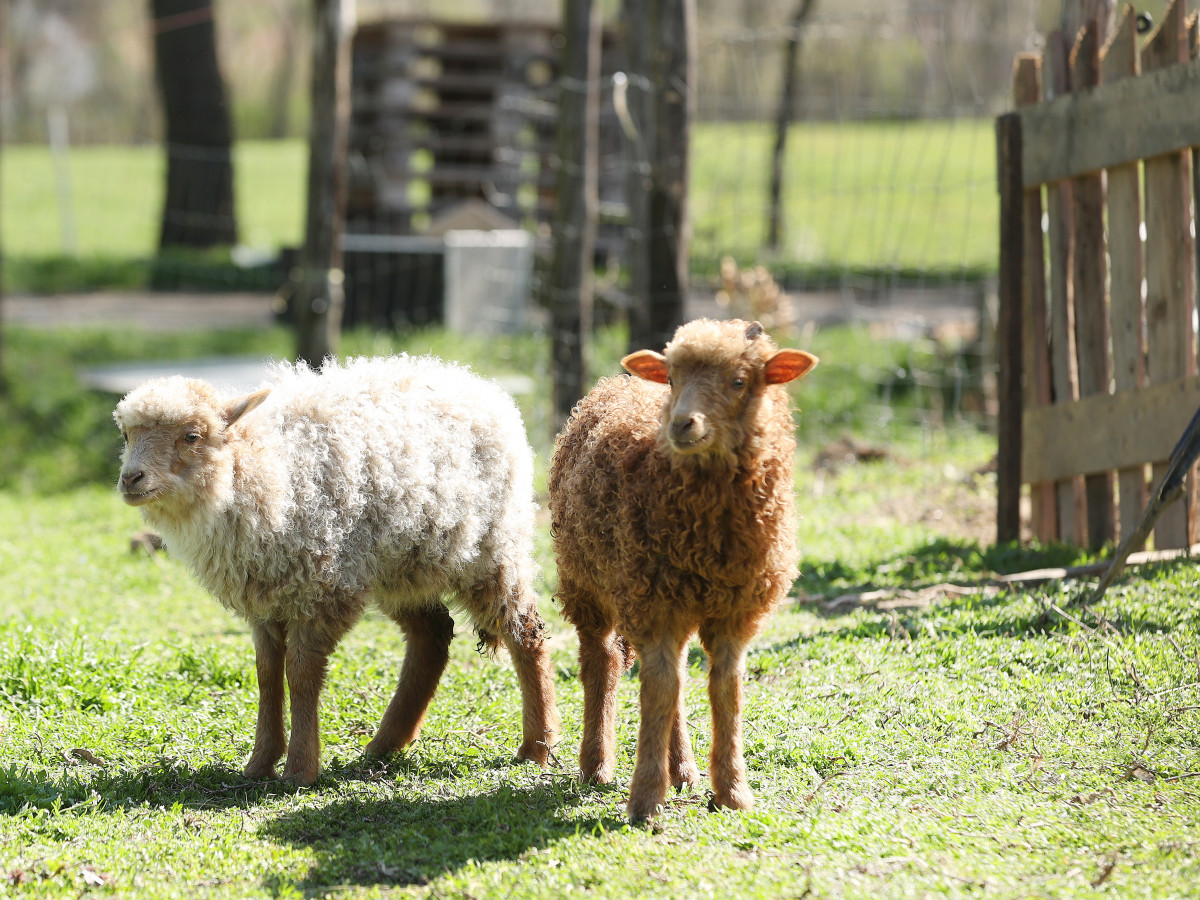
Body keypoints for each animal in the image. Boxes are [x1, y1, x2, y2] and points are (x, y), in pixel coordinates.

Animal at [113, 355, 561, 787]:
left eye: (192, 436)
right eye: (126, 436)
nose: (130, 478)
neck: (259, 470)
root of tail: (480, 385)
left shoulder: (323, 591)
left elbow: (301, 674)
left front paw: (299, 769)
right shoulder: (266, 599)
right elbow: (267, 675)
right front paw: (260, 763)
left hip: (491, 548)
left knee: (526, 633)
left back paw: (536, 747)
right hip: (401, 565)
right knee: (432, 635)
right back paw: (385, 744)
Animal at [549, 319, 816, 825]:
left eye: (740, 381)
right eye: (672, 379)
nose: (681, 424)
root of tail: (618, 381)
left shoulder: (733, 613)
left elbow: (723, 689)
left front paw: (732, 792)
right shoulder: (652, 604)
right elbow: (658, 690)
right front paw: (645, 800)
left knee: (674, 674)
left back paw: (684, 769)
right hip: (586, 582)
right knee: (602, 661)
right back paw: (597, 765)